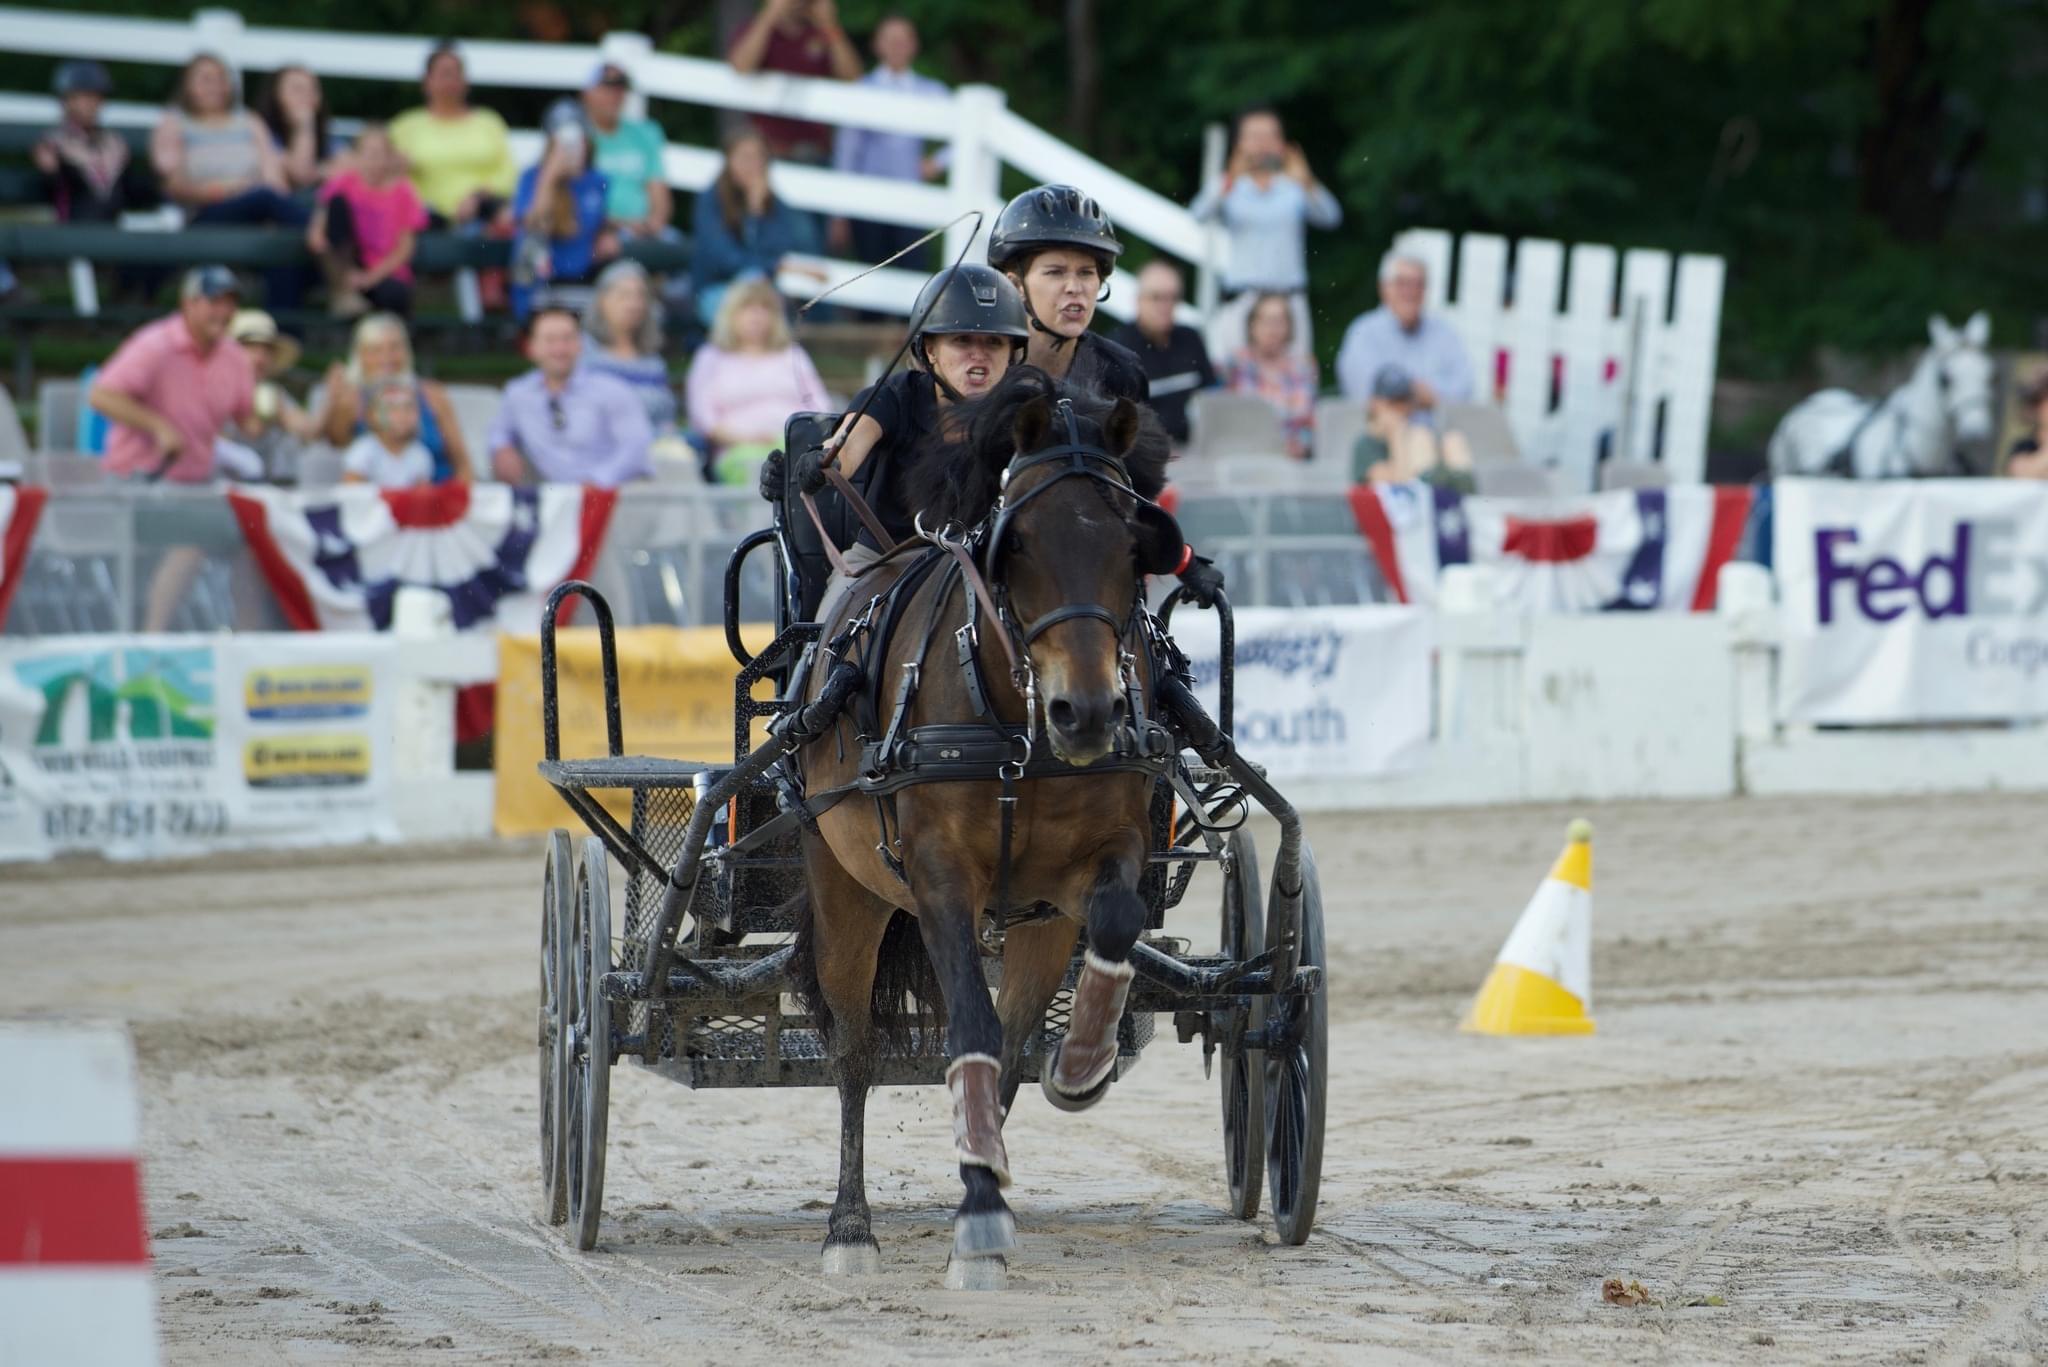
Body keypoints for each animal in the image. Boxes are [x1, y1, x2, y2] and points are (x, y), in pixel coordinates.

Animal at [786, 366, 1179, 1287]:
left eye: (1131, 547)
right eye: (1019, 542)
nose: (1088, 713)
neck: (1015, 722)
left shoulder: (1106, 856)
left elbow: (1113, 926)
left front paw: (1081, 1068)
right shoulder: (937, 878)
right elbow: (964, 1022)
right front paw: (969, 1213)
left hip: (1038, 924)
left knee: (1014, 1034)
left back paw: (987, 1172)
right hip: (846, 885)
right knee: (855, 1046)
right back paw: (852, 1226)